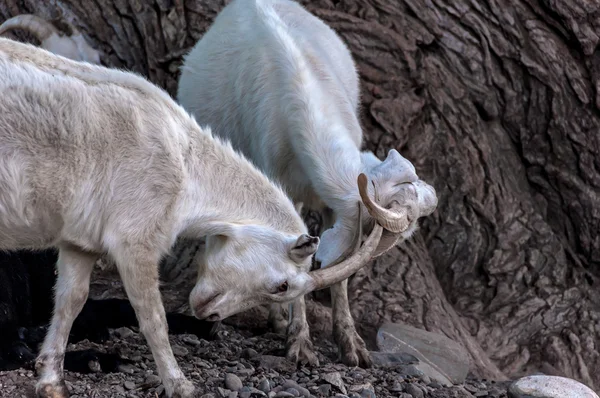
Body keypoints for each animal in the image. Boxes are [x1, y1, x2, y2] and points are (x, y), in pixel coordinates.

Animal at [0, 38, 384, 398]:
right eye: (282, 286)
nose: (209, 315)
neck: (184, 163)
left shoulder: (80, 242)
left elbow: (70, 301)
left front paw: (51, 382)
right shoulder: (135, 240)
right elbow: (152, 317)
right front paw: (179, 384)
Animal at [176, 0, 438, 368]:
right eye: (392, 232)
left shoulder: (336, 207)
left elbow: (339, 272)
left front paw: (353, 347)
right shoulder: (280, 182)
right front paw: (299, 344)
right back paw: (276, 320)